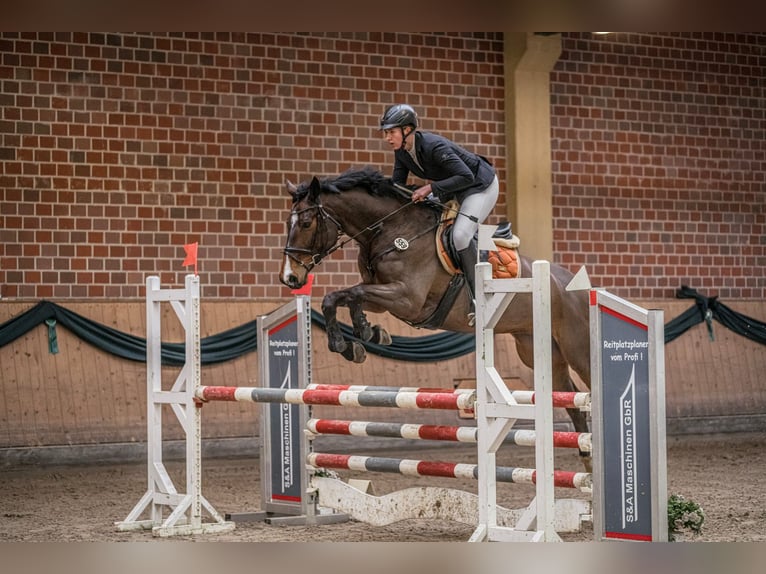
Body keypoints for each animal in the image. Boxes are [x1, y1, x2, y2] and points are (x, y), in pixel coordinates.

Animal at [282, 166, 592, 472]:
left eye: (306, 223)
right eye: (288, 222)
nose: (290, 278)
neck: (393, 231)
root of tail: (574, 284)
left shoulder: (407, 299)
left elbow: (347, 294)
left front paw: (348, 339)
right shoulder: (384, 297)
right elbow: (342, 297)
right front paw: (362, 337)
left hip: (577, 349)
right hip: (538, 350)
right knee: (572, 399)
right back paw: (587, 460)